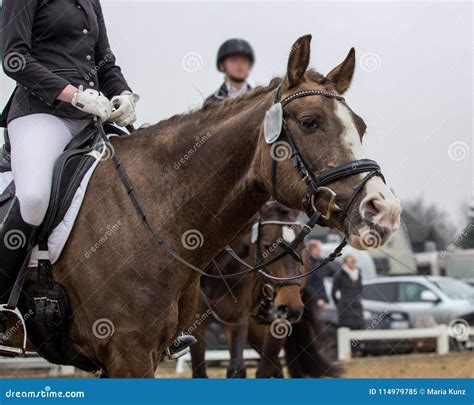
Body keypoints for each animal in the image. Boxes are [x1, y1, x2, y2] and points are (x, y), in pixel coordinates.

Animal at [189, 200, 304, 378]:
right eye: (267, 246)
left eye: (302, 247)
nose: (292, 307)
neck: (218, 273)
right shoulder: (197, 326)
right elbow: (199, 370)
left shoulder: (237, 320)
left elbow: (237, 368)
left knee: (266, 369)